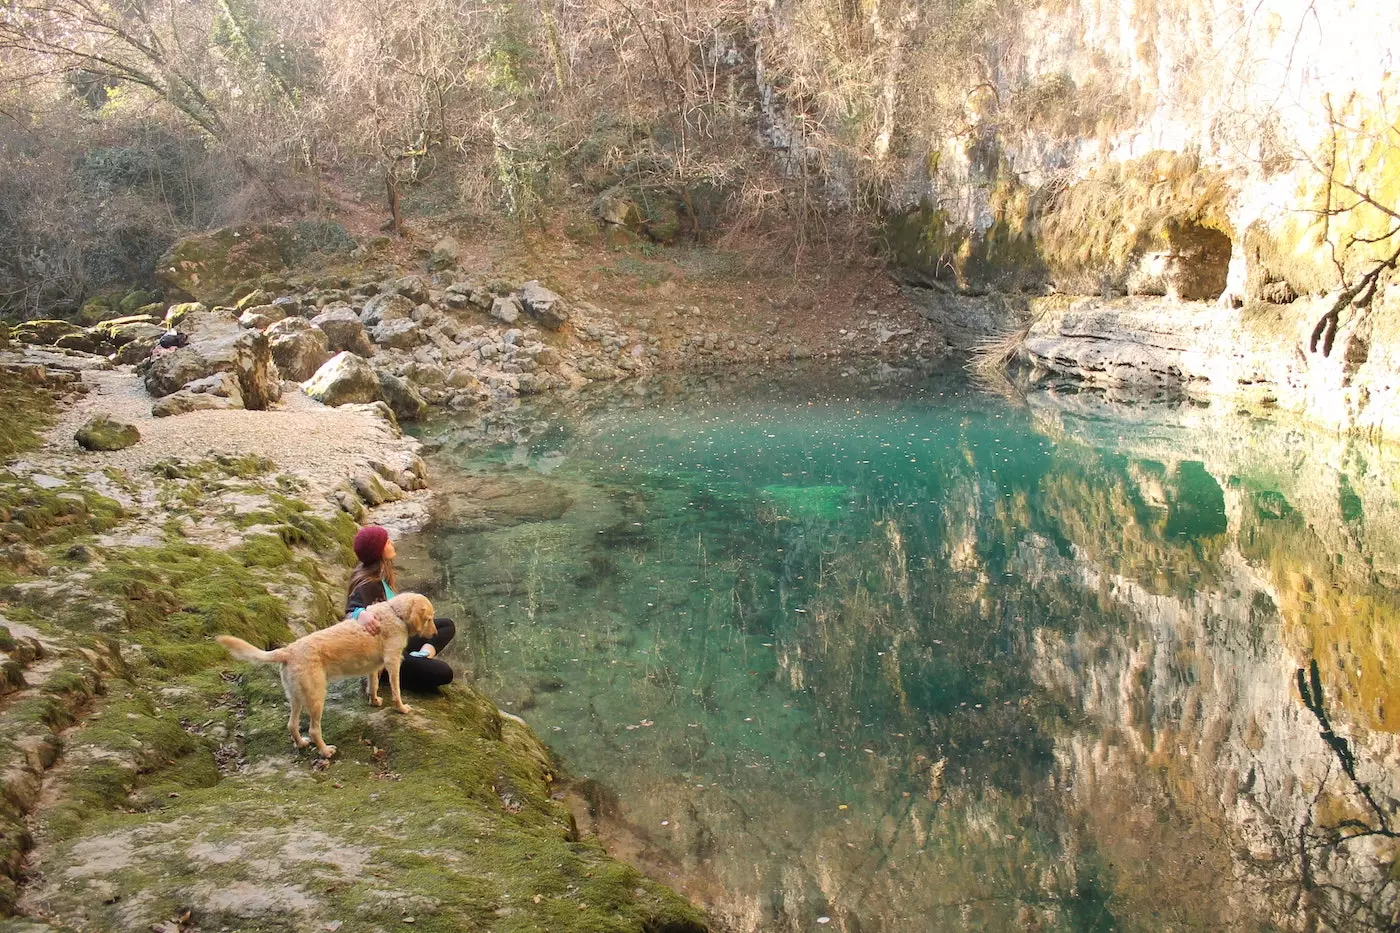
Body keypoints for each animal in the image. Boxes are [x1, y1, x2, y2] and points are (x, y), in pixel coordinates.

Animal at [217, 596, 436, 756]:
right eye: (430, 618)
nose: (434, 634)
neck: (395, 613)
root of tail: (288, 651)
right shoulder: (393, 662)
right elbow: (396, 690)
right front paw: (401, 708)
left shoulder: (374, 666)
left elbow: (373, 685)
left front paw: (374, 700)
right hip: (317, 697)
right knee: (314, 730)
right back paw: (326, 751)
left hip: (296, 697)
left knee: (292, 725)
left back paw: (302, 744)